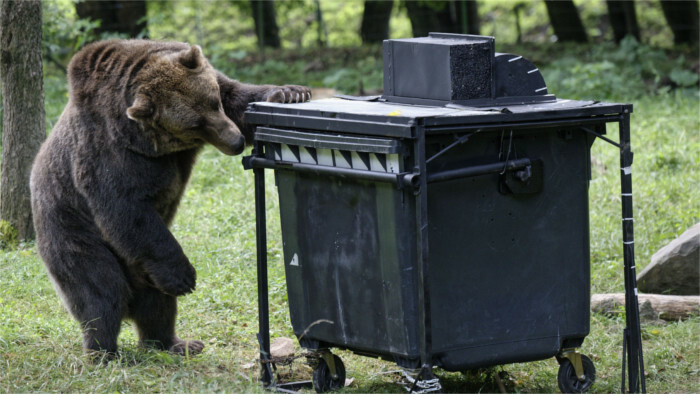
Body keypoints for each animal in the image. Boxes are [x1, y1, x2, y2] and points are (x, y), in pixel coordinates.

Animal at [30, 39, 308, 358]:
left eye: (213, 102)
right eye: (194, 124)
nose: (236, 142)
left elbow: (239, 99)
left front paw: (290, 93)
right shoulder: (110, 153)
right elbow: (127, 210)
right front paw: (186, 276)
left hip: (144, 269)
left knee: (157, 302)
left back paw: (175, 342)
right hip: (73, 234)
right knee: (101, 292)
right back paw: (103, 351)